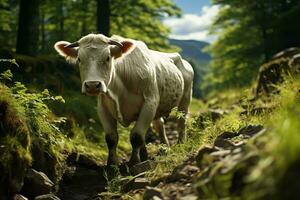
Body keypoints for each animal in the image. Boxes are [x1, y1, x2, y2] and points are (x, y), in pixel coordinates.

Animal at [54, 34, 195, 166]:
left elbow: (136, 136)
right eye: (79, 59)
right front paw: (112, 164)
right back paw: (161, 149)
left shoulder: (150, 102)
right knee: (159, 124)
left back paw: (180, 144)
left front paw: (134, 161)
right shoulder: (103, 107)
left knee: (182, 122)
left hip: (185, 98)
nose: (93, 85)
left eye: (108, 58)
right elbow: (111, 138)